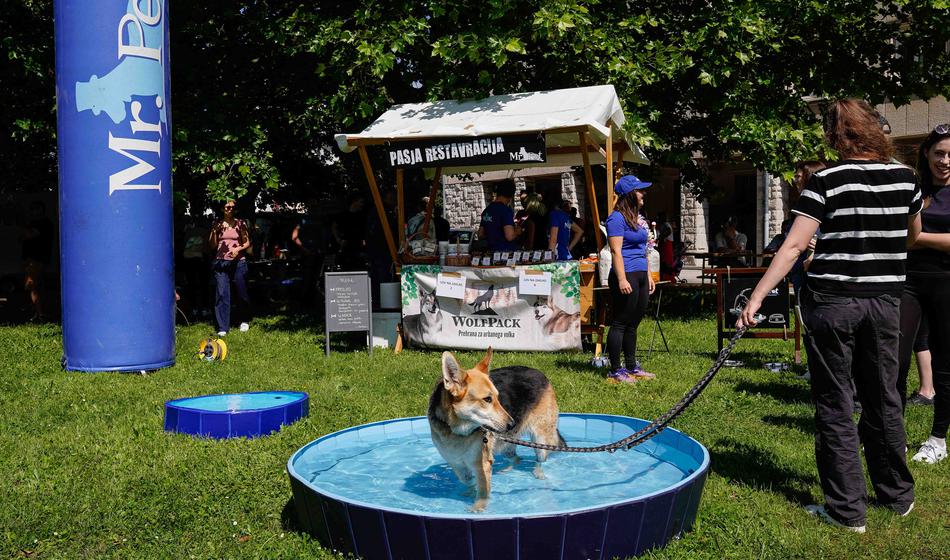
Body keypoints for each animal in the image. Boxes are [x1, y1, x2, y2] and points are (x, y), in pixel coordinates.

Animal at [428, 347, 564, 512]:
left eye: (498, 398)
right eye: (487, 399)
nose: (512, 424)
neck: (457, 431)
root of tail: (539, 372)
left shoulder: (482, 465)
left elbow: (483, 491)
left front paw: (478, 508)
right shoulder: (456, 464)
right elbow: (468, 481)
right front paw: (469, 492)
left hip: (540, 439)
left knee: (540, 460)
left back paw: (538, 472)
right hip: (506, 444)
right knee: (516, 457)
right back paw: (508, 468)